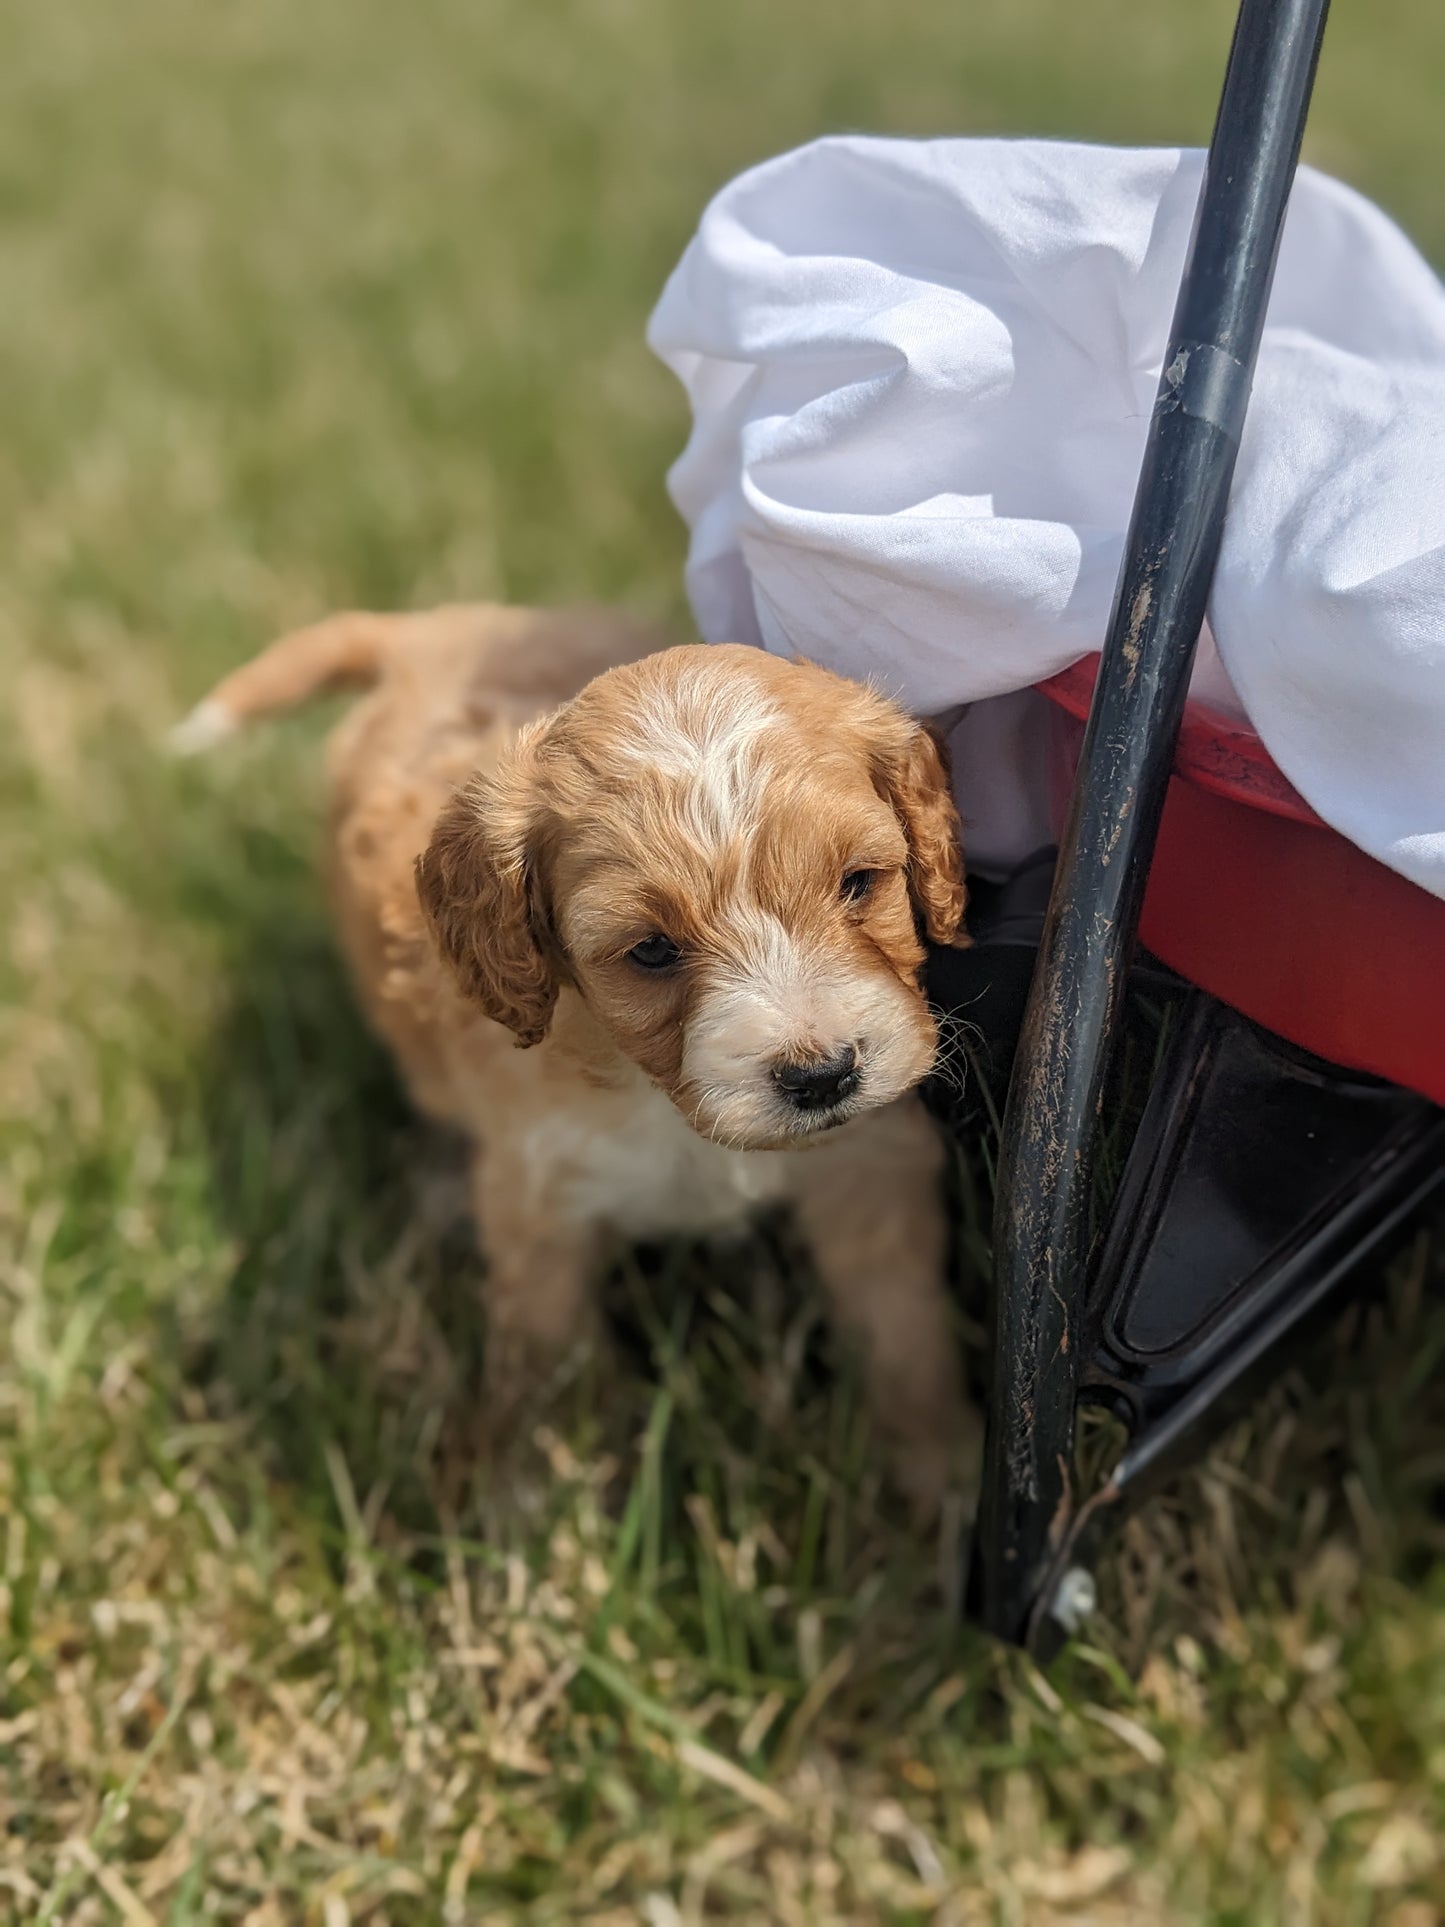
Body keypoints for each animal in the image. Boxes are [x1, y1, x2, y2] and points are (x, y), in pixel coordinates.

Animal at [175, 608, 978, 1510]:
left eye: (857, 882)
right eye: (652, 950)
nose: (822, 1077)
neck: (661, 1099)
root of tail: (428, 626)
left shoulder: (867, 1165)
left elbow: (902, 1326)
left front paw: (942, 1469)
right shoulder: (538, 1202)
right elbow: (546, 1356)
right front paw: (539, 1493)